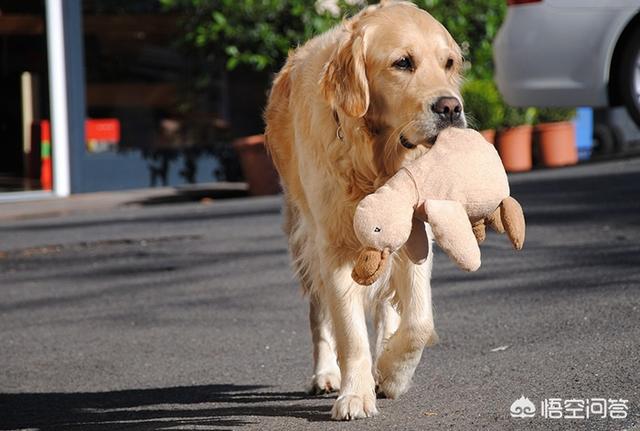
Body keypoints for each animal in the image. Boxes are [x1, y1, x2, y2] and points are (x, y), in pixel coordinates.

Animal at [264, 0, 464, 420]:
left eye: (449, 63)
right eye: (403, 62)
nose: (451, 108)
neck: (376, 159)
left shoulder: (414, 236)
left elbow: (419, 321)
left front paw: (392, 373)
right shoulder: (334, 247)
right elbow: (350, 333)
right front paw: (355, 395)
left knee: (389, 308)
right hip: (304, 237)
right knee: (319, 315)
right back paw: (326, 374)